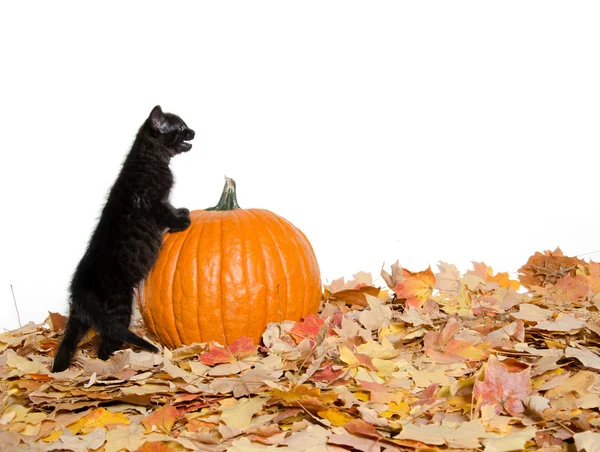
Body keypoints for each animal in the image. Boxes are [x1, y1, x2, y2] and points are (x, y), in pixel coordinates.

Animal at [51, 107, 196, 374]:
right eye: (180, 127)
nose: (194, 131)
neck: (149, 158)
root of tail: (79, 288)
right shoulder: (151, 202)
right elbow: (166, 213)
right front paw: (182, 221)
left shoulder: (160, 199)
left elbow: (170, 206)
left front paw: (181, 211)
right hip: (119, 307)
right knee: (106, 345)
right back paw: (123, 362)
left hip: (78, 318)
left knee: (67, 344)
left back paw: (60, 369)